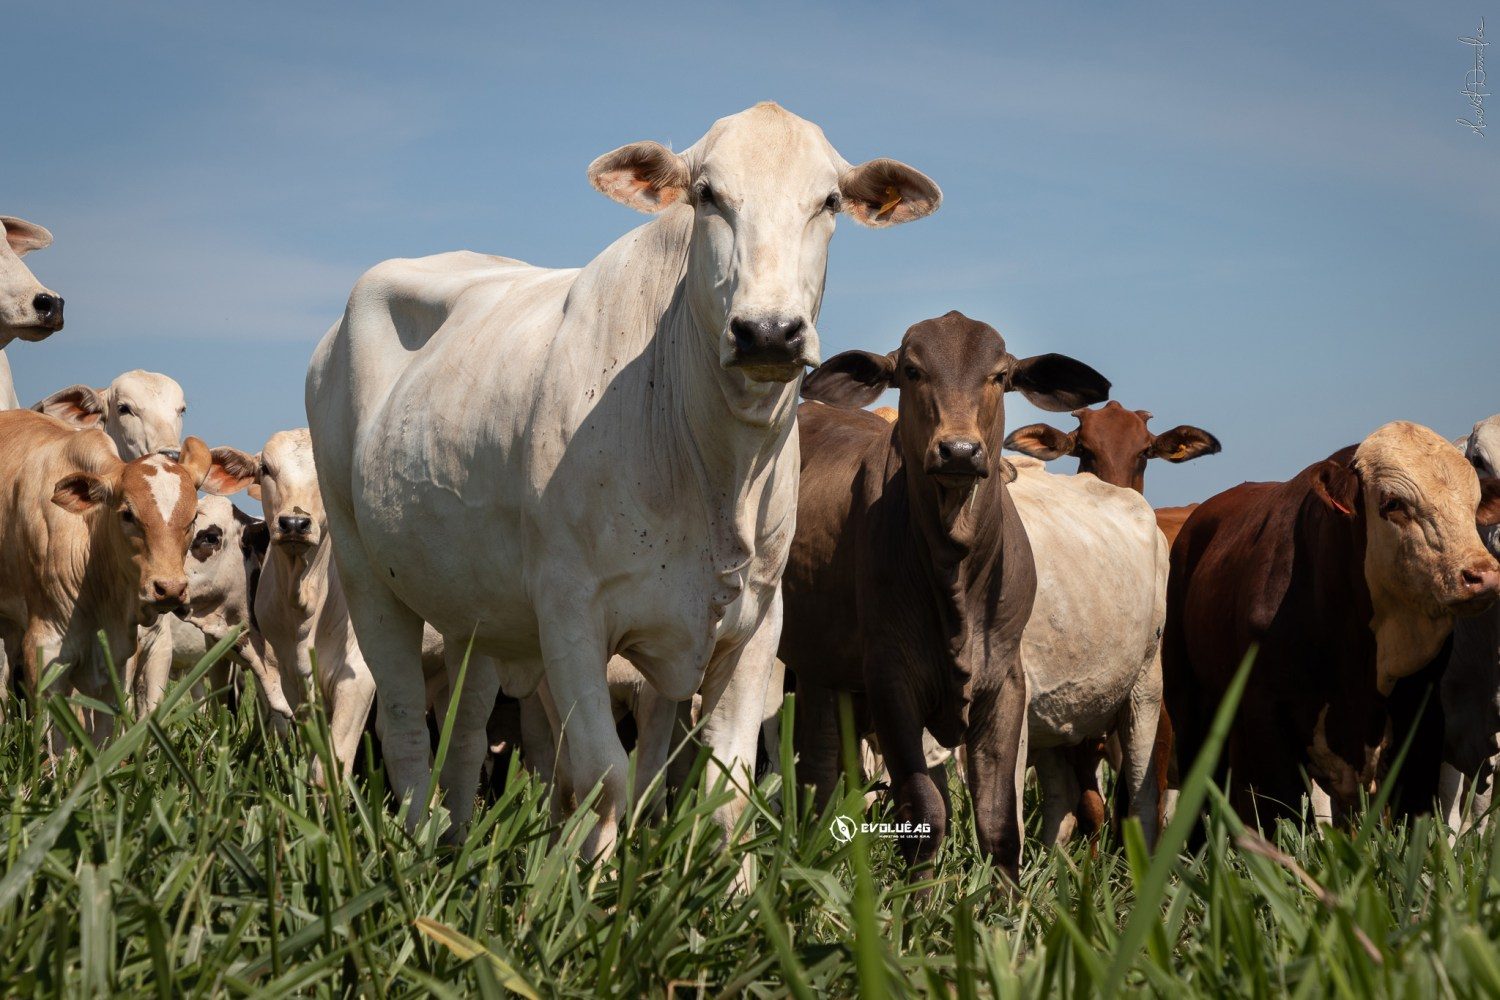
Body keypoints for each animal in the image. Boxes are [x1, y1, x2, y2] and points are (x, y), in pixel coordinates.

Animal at [304, 101, 936, 857]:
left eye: (829, 202)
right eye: (708, 195)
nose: (768, 332)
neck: (714, 472)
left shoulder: (758, 623)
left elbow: (726, 792)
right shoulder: (571, 612)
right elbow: (603, 777)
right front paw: (593, 884)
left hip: (472, 613)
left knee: (464, 731)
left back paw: (455, 840)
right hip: (365, 570)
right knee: (401, 725)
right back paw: (418, 850)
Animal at [780, 310, 1110, 875]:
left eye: (999, 376)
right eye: (912, 371)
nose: (959, 450)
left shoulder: (1005, 682)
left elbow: (999, 823)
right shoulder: (891, 683)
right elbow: (926, 814)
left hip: (824, 671)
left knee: (819, 769)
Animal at [1170, 422, 1500, 827]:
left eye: (1473, 505)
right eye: (1393, 503)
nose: (1481, 575)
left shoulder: (1422, 717)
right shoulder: (1267, 719)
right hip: (1190, 709)